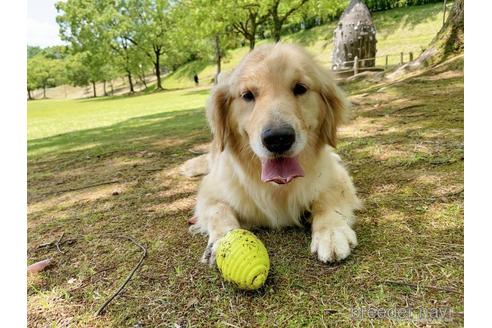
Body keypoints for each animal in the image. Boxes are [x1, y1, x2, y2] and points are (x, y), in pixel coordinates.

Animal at [190, 43, 360, 264]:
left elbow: (328, 199)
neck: (278, 188)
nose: (278, 139)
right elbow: (219, 211)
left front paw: (331, 232)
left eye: (300, 88)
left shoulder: (336, 178)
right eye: (247, 95)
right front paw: (222, 241)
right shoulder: (210, 189)